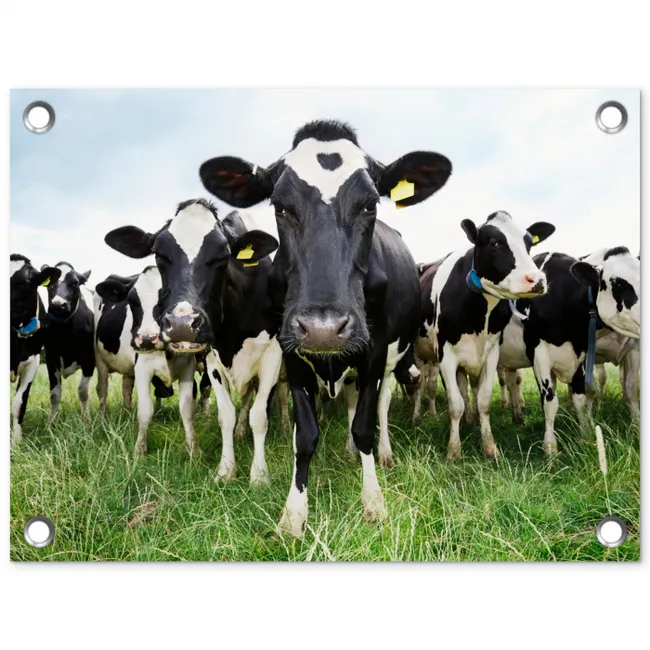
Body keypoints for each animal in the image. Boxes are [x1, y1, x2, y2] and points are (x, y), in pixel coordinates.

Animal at [40, 262, 95, 419]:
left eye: (75, 283)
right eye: (49, 283)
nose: (58, 304)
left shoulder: (90, 360)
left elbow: (83, 391)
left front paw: (86, 419)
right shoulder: (51, 359)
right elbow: (54, 394)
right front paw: (52, 420)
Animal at [95, 266, 200, 456]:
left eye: (167, 296)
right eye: (132, 300)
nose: (146, 339)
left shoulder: (188, 367)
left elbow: (187, 409)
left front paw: (194, 450)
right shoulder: (143, 368)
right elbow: (145, 409)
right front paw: (140, 450)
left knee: (126, 388)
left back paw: (127, 416)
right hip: (100, 360)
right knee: (102, 390)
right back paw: (102, 422)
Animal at [198, 119, 452, 537]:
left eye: (370, 204)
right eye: (280, 206)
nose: (323, 329)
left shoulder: (373, 351)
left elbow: (364, 426)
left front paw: (373, 501)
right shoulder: (291, 352)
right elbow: (305, 435)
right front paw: (293, 514)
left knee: (379, 407)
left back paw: (381, 454)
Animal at [414, 211, 555, 460]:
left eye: (529, 243)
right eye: (494, 243)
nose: (537, 280)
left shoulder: (490, 354)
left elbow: (484, 400)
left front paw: (489, 447)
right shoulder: (445, 355)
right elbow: (455, 404)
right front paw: (454, 451)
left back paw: (470, 420)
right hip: (420, 355)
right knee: (421, 385)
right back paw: (418, 417)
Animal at [499, 245, 640, 454]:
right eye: (619, 283)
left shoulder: (583, 353)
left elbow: (584, 396)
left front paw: (585, 437)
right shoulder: (538, 352)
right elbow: (550, 402)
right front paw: (550, 449)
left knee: (511, 380)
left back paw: (517, 416)